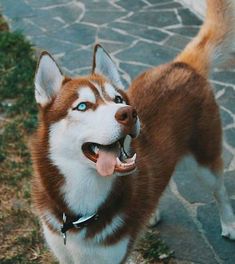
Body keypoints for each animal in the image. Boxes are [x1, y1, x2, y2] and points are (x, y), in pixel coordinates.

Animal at [32, 0, 235, 262]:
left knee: (220, 189)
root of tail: (182, 64)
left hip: (204, 161)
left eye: (118, 99)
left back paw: (229, 223)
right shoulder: (63, 253)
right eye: (82, 106)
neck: (83, 205)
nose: (129, 113)